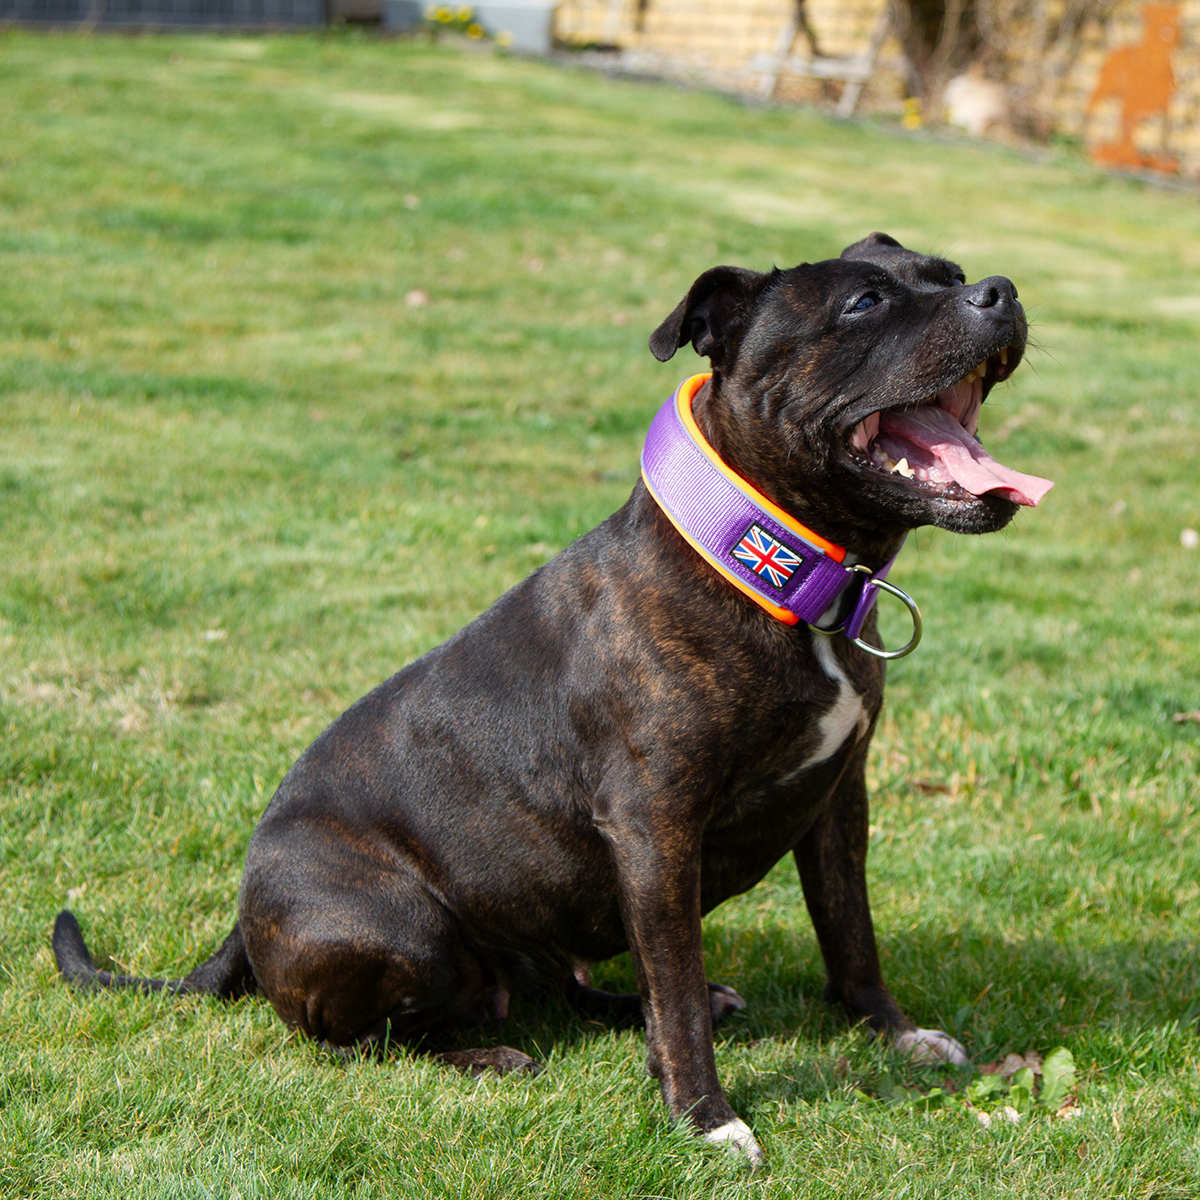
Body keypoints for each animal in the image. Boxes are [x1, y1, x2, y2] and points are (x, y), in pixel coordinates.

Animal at [54, 231, 1032, 1161]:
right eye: (863, 304)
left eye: (949, 274)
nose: (1001, 290)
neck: (776, 570)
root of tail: (240, 916)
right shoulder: (655, 828)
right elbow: (676, 989)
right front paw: (707, 1120)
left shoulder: (836, 800)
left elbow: (848, 935)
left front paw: (893, 1035)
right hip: (394, 922)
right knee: (352, 1041)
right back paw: (483, 1056)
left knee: (578, 987)